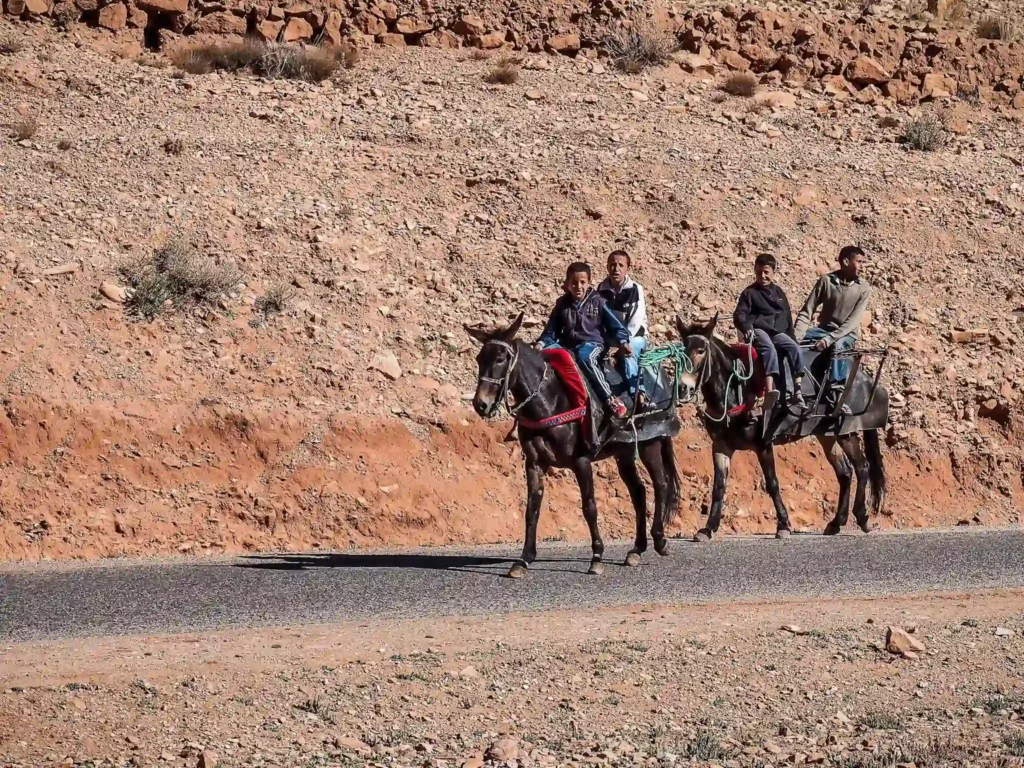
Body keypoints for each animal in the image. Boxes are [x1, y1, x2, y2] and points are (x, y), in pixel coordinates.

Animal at [465, 313, 682, 578]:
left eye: (499, 359)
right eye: (479, 359)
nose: (481, 404)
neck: (550, 400)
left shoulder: (582, 462)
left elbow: (589, 507)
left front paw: (597, 557)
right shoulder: (535, 463)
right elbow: (532, 509)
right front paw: (524, 560)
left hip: (650, 444)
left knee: (661, 484)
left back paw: (659, 541)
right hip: (624, 452)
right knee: (638, 492)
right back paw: (636, 550)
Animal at [674, 314, 888, 540]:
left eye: (701, 351)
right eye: (681, 351)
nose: (683, 388)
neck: (737, 389)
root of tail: (865, 379)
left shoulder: (763, 444)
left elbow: (772, 484)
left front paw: (784, 525)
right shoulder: (721, 446)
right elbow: (718, 487)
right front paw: (707, 528)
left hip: (846, 432)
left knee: (862, 467)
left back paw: (862, 517)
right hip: (827, 435)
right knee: (845, 472)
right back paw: (836, 523)